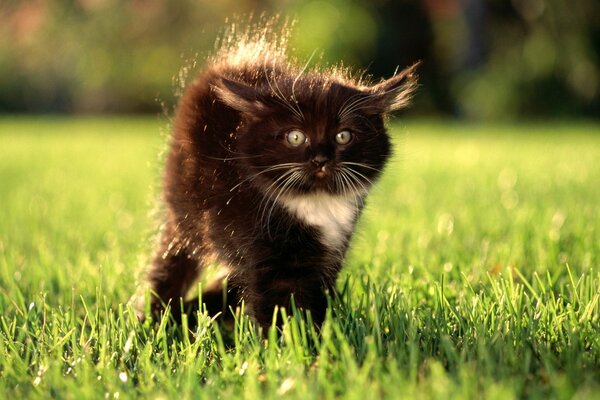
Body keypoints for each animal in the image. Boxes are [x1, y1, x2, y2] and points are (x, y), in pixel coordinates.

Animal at [143, 28, 420, 332]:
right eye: (295, 137)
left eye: (343, 136)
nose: (321, 159)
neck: (313, 203)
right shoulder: (264, 248)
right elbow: (278, 303)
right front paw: (293, 340)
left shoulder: (332, 248)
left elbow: (316, 293)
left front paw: (324, 330)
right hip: (183, 213)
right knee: (170, 263)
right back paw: (156, 316)